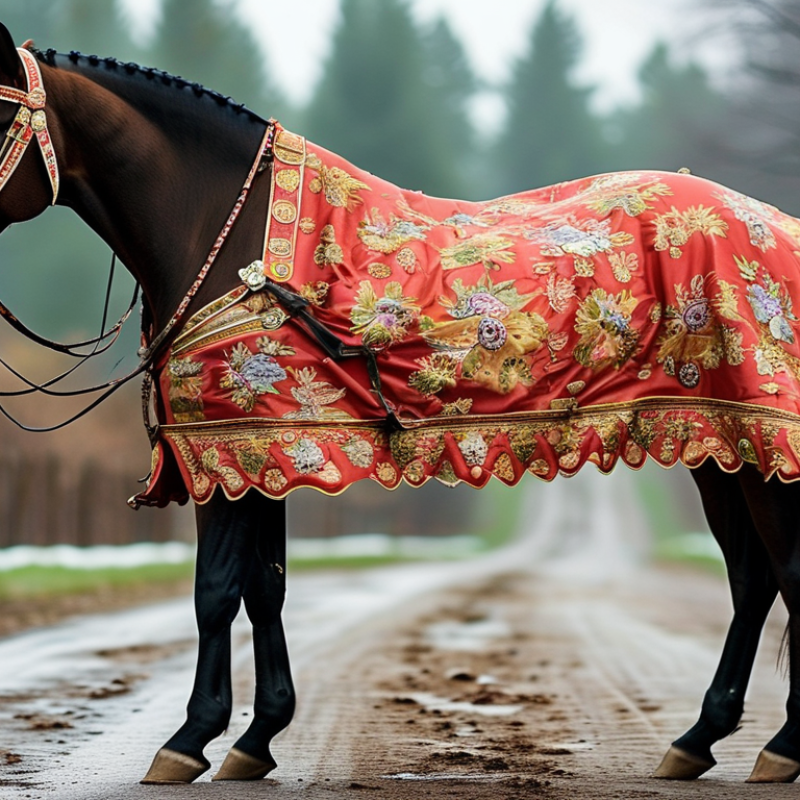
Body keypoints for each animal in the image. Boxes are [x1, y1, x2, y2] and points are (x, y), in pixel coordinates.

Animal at [0, 22, 799, 786]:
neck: (233, 238)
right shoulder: (261, 453)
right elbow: (265, 590)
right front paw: (258, 738)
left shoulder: (226, 452)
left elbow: (216, 593)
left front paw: (190, 739)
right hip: (718, 450)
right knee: (754, 580)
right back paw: (698, 739)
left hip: (763, 453)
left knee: (785, 574)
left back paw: (778, 748)